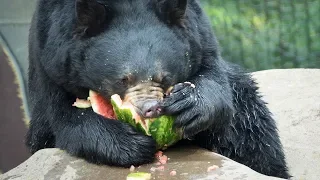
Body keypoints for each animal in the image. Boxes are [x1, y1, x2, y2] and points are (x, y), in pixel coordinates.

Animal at [25, 0, 290, 179]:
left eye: (164, 78)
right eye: (123, 80)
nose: (150, 109)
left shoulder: (199, 33)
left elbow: (214, 79)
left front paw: (190, 105)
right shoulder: (50, 54)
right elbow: (66, 116)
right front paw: (132, 144)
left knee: (249, 126)